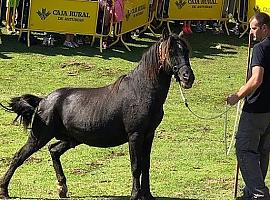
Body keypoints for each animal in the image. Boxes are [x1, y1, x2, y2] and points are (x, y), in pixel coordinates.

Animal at [0, 31, 194, 200]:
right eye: (171, 51)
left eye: (186, 51)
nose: (188, 77)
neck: (141, 91)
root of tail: (43, 101)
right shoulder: (135, 136)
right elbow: (136, 166)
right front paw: (135, 195)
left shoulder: (149, 135)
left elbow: (146, 165)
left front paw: (147, 195)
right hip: (39, 136)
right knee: (19, 157)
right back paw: (4, 190)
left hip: (71, 139)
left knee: (53, 150)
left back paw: (62, 188)